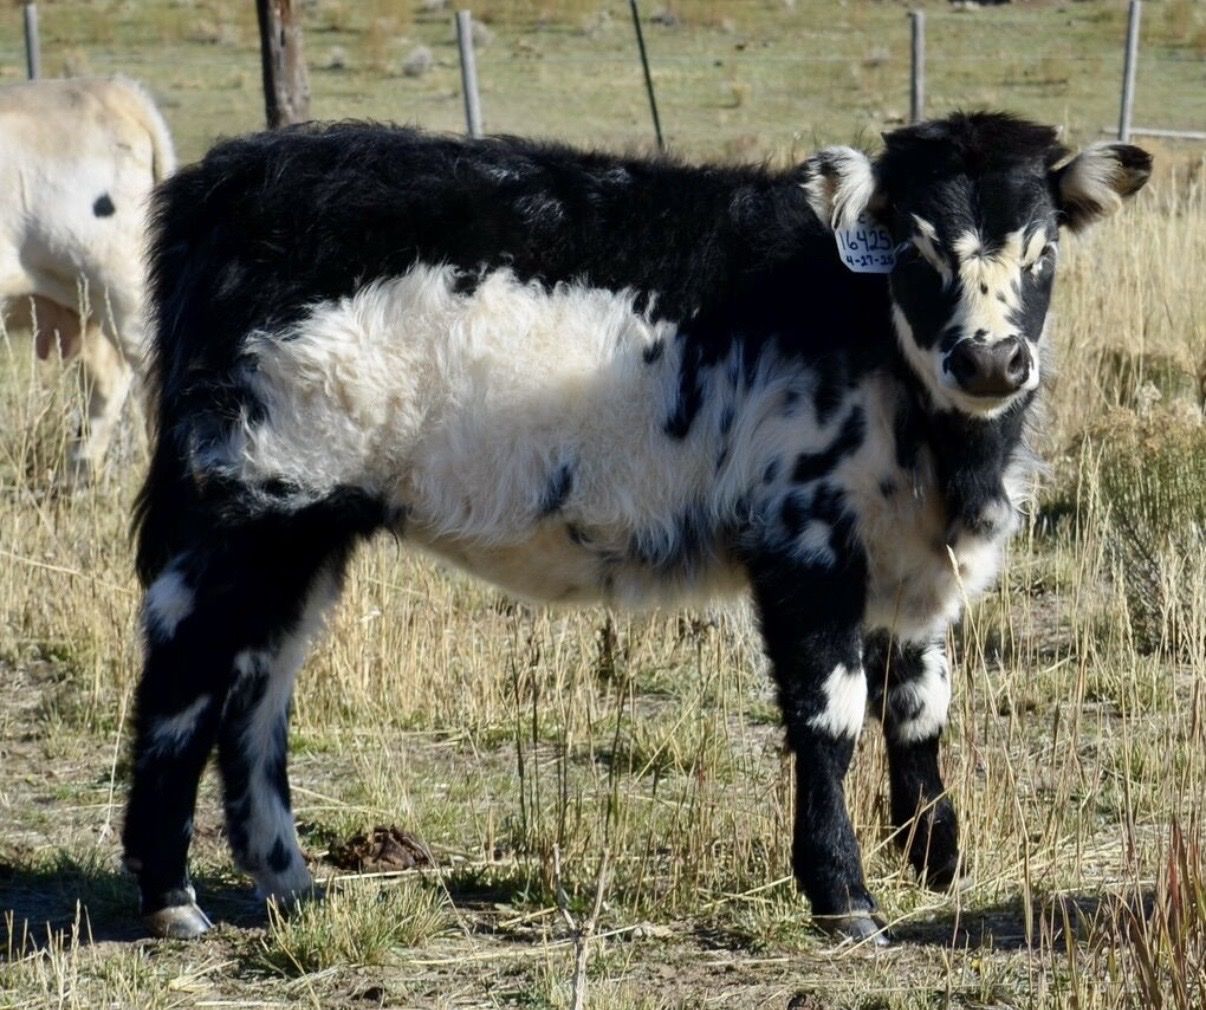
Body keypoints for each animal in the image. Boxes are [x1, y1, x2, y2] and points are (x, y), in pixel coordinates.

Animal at [121, 113, 1150, 941]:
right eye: (915, 250)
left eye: (1044, 250)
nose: (990, 359)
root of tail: (234, 176)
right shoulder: (804, 539)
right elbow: (832, 714)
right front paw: (844, 897)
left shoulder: (912, 556)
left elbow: (919, 703)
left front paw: (936, 850)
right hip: (247, 503)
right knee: (185, 686)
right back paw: (172, 899)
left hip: (305, 531)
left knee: (257, 691)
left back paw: (288, 884)